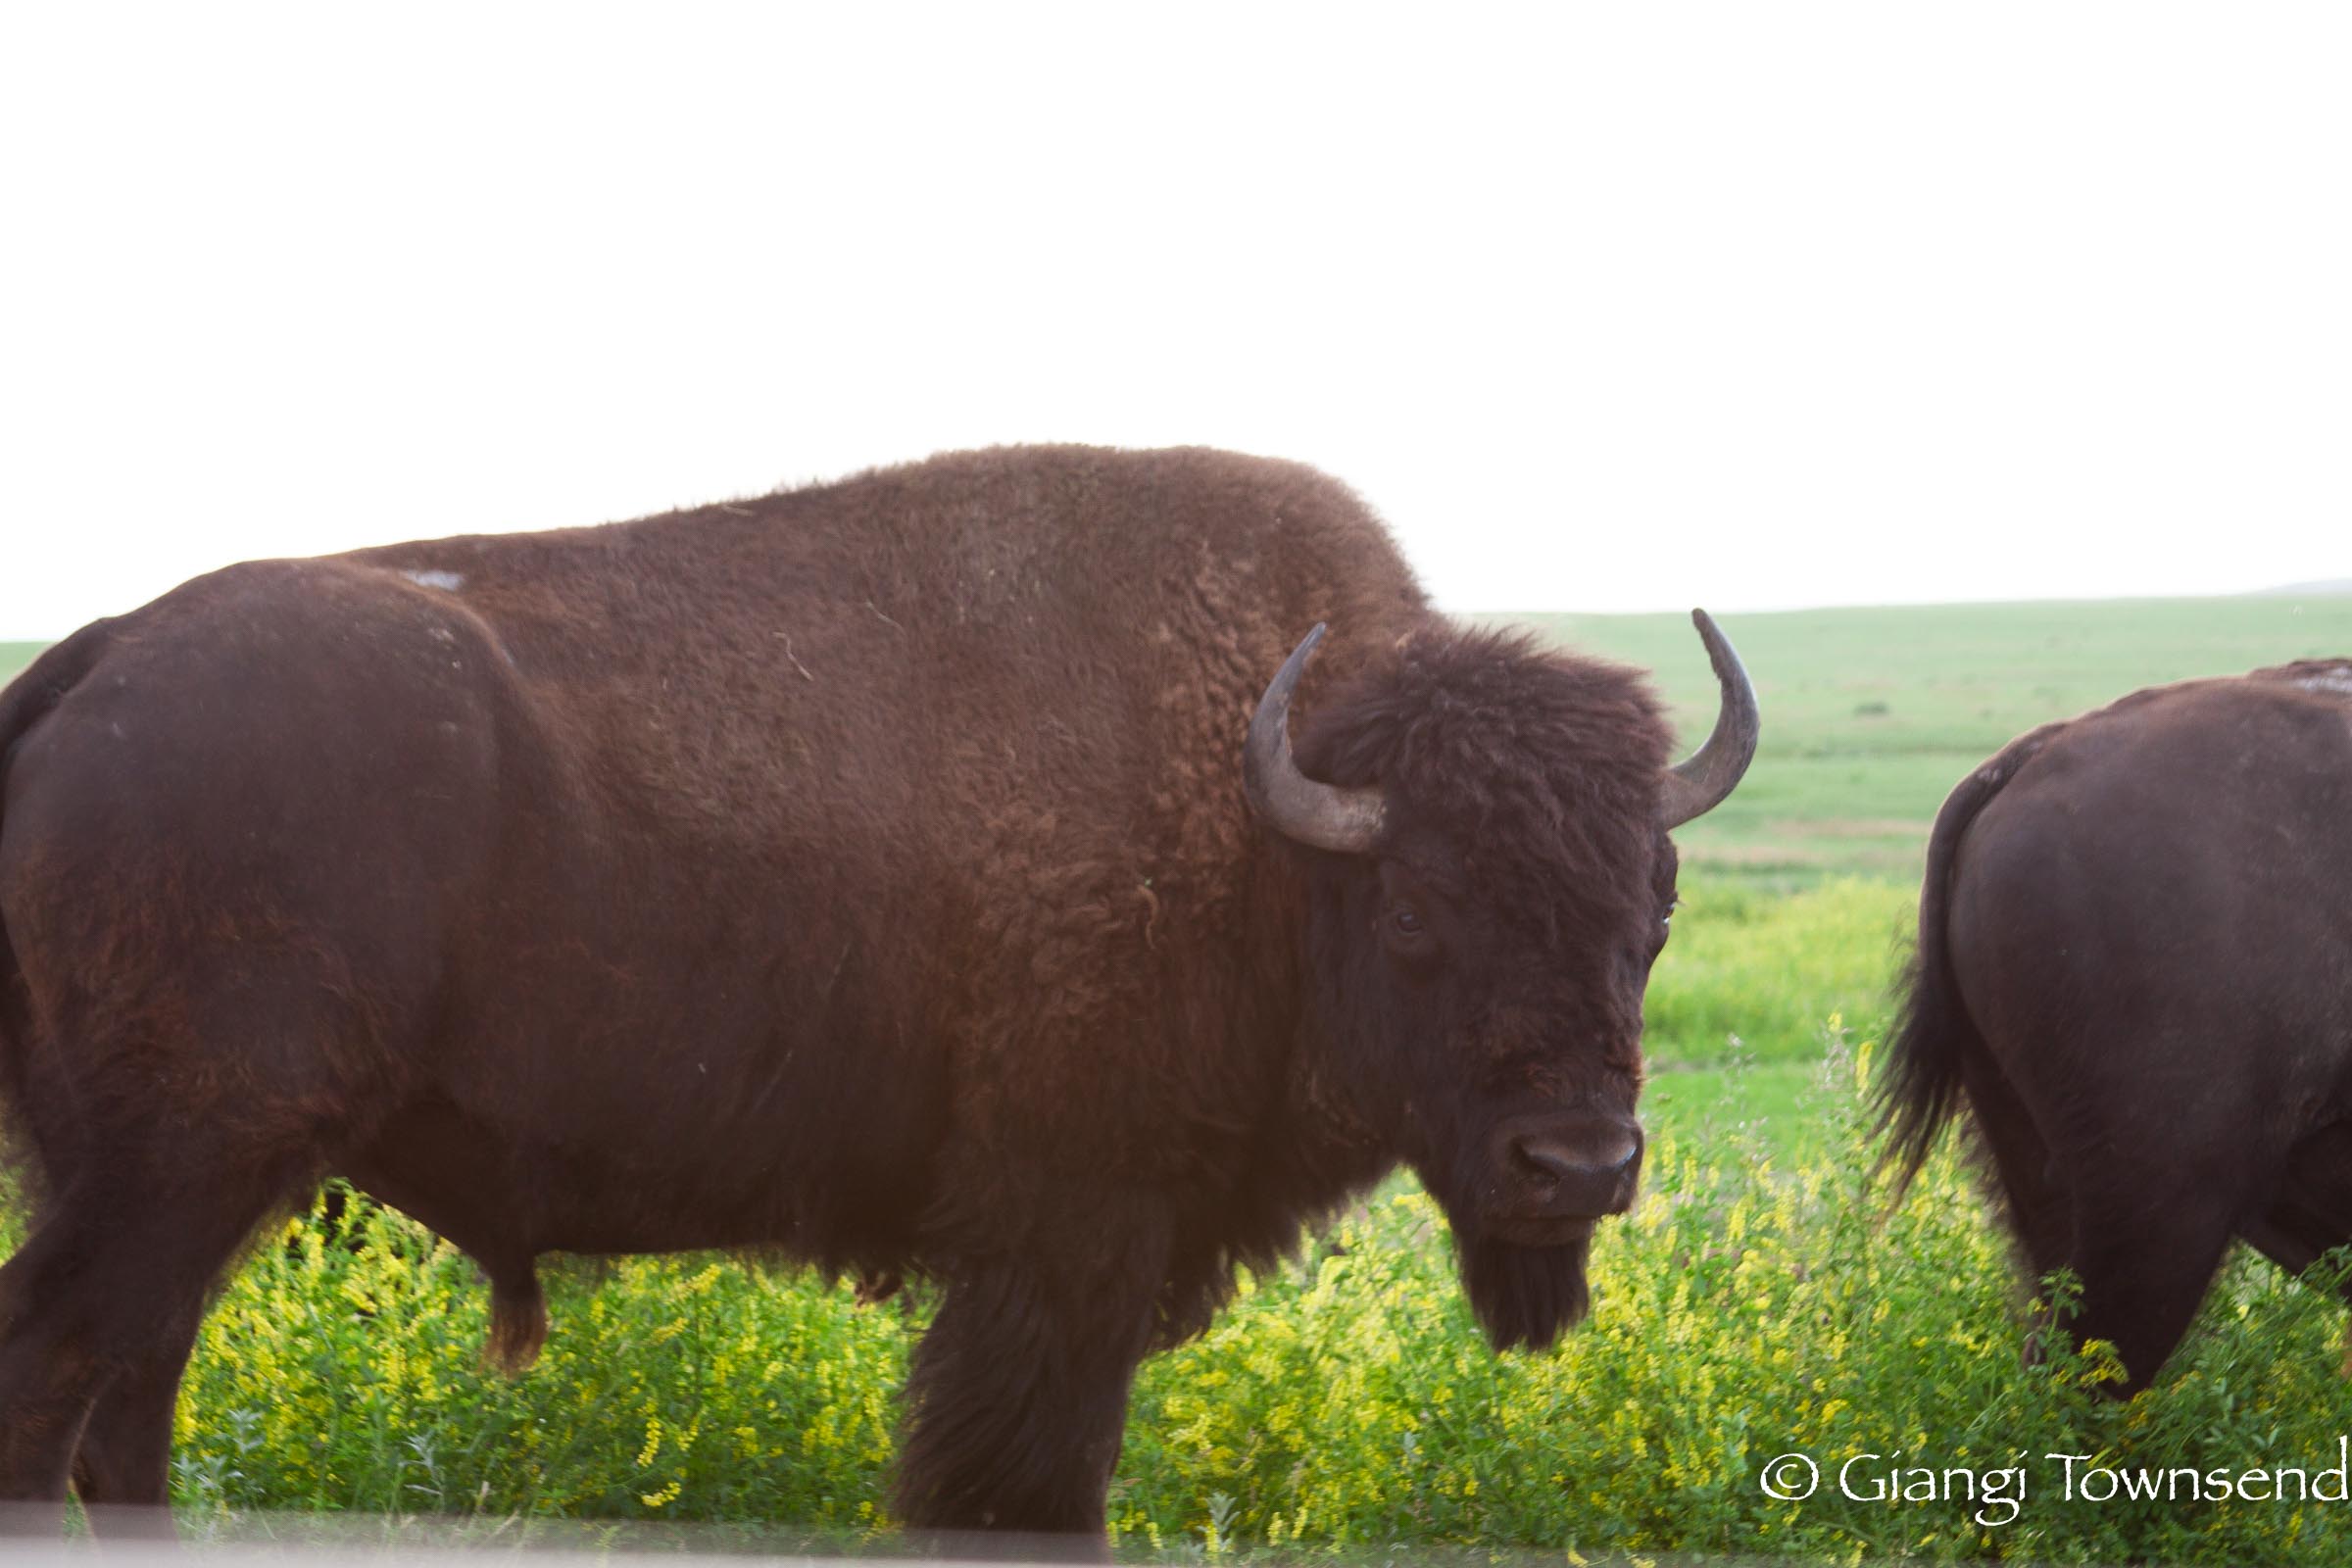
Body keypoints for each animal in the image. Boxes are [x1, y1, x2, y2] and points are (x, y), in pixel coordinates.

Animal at [0, 444, 1759, 1542]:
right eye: (1412, 908)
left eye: (1654, 904)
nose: (1577, 1164)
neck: (1268, 823)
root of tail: (96, 656)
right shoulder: (1063, 1252)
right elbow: (1020, 1491)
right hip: (185, 1161)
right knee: (58, 1375)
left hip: (179, 1179)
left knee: (128, 1400)